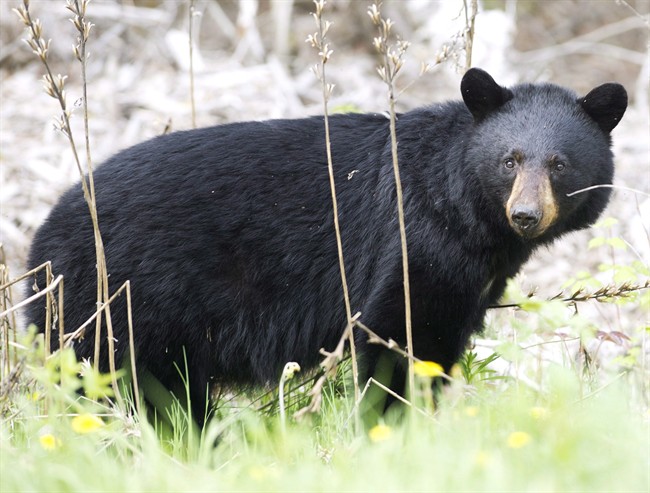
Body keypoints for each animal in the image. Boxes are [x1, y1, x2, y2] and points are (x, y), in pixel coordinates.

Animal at [26, 68, 627, 422]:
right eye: (510, 161)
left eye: (559, 164)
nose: (525, 216)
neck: (468, 215)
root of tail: (41, 239)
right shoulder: (414, 238)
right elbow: (403, 331)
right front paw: (392, 422)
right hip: (119, 297)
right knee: (114, 378)